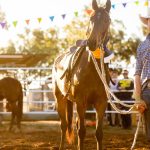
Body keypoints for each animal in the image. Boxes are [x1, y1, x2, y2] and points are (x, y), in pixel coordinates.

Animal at [52, 0, 111, 149]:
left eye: (107, 20)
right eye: (91, 18)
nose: (91, 42)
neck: (92, 69)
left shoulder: (101, 103)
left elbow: (99, 133)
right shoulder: (80, 101)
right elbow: (82, 131)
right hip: (60, 99)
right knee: (64, 125)